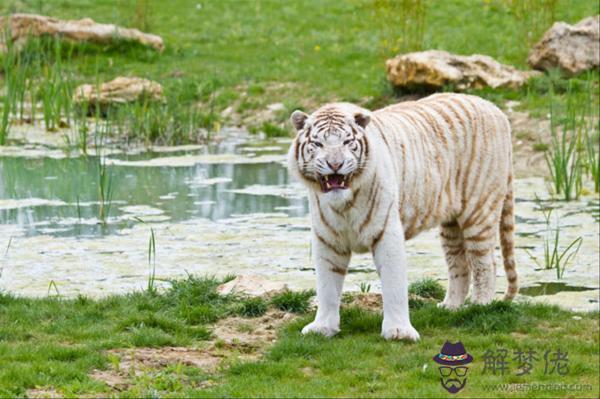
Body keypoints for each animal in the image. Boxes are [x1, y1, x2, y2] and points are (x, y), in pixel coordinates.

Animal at [286, 94, 516, 340]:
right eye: (318, 144)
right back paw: (450, 307)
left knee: (485, 263)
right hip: (451, 225)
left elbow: (393, 284)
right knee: (459, 264)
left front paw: (399, 332)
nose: (335, 164)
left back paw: (481, 306)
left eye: (347, 142)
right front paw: (322, 328)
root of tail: (494, 108)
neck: (344, 204)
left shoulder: (387, 232)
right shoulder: (327, 239)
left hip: (479, 211)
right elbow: (327, 285)